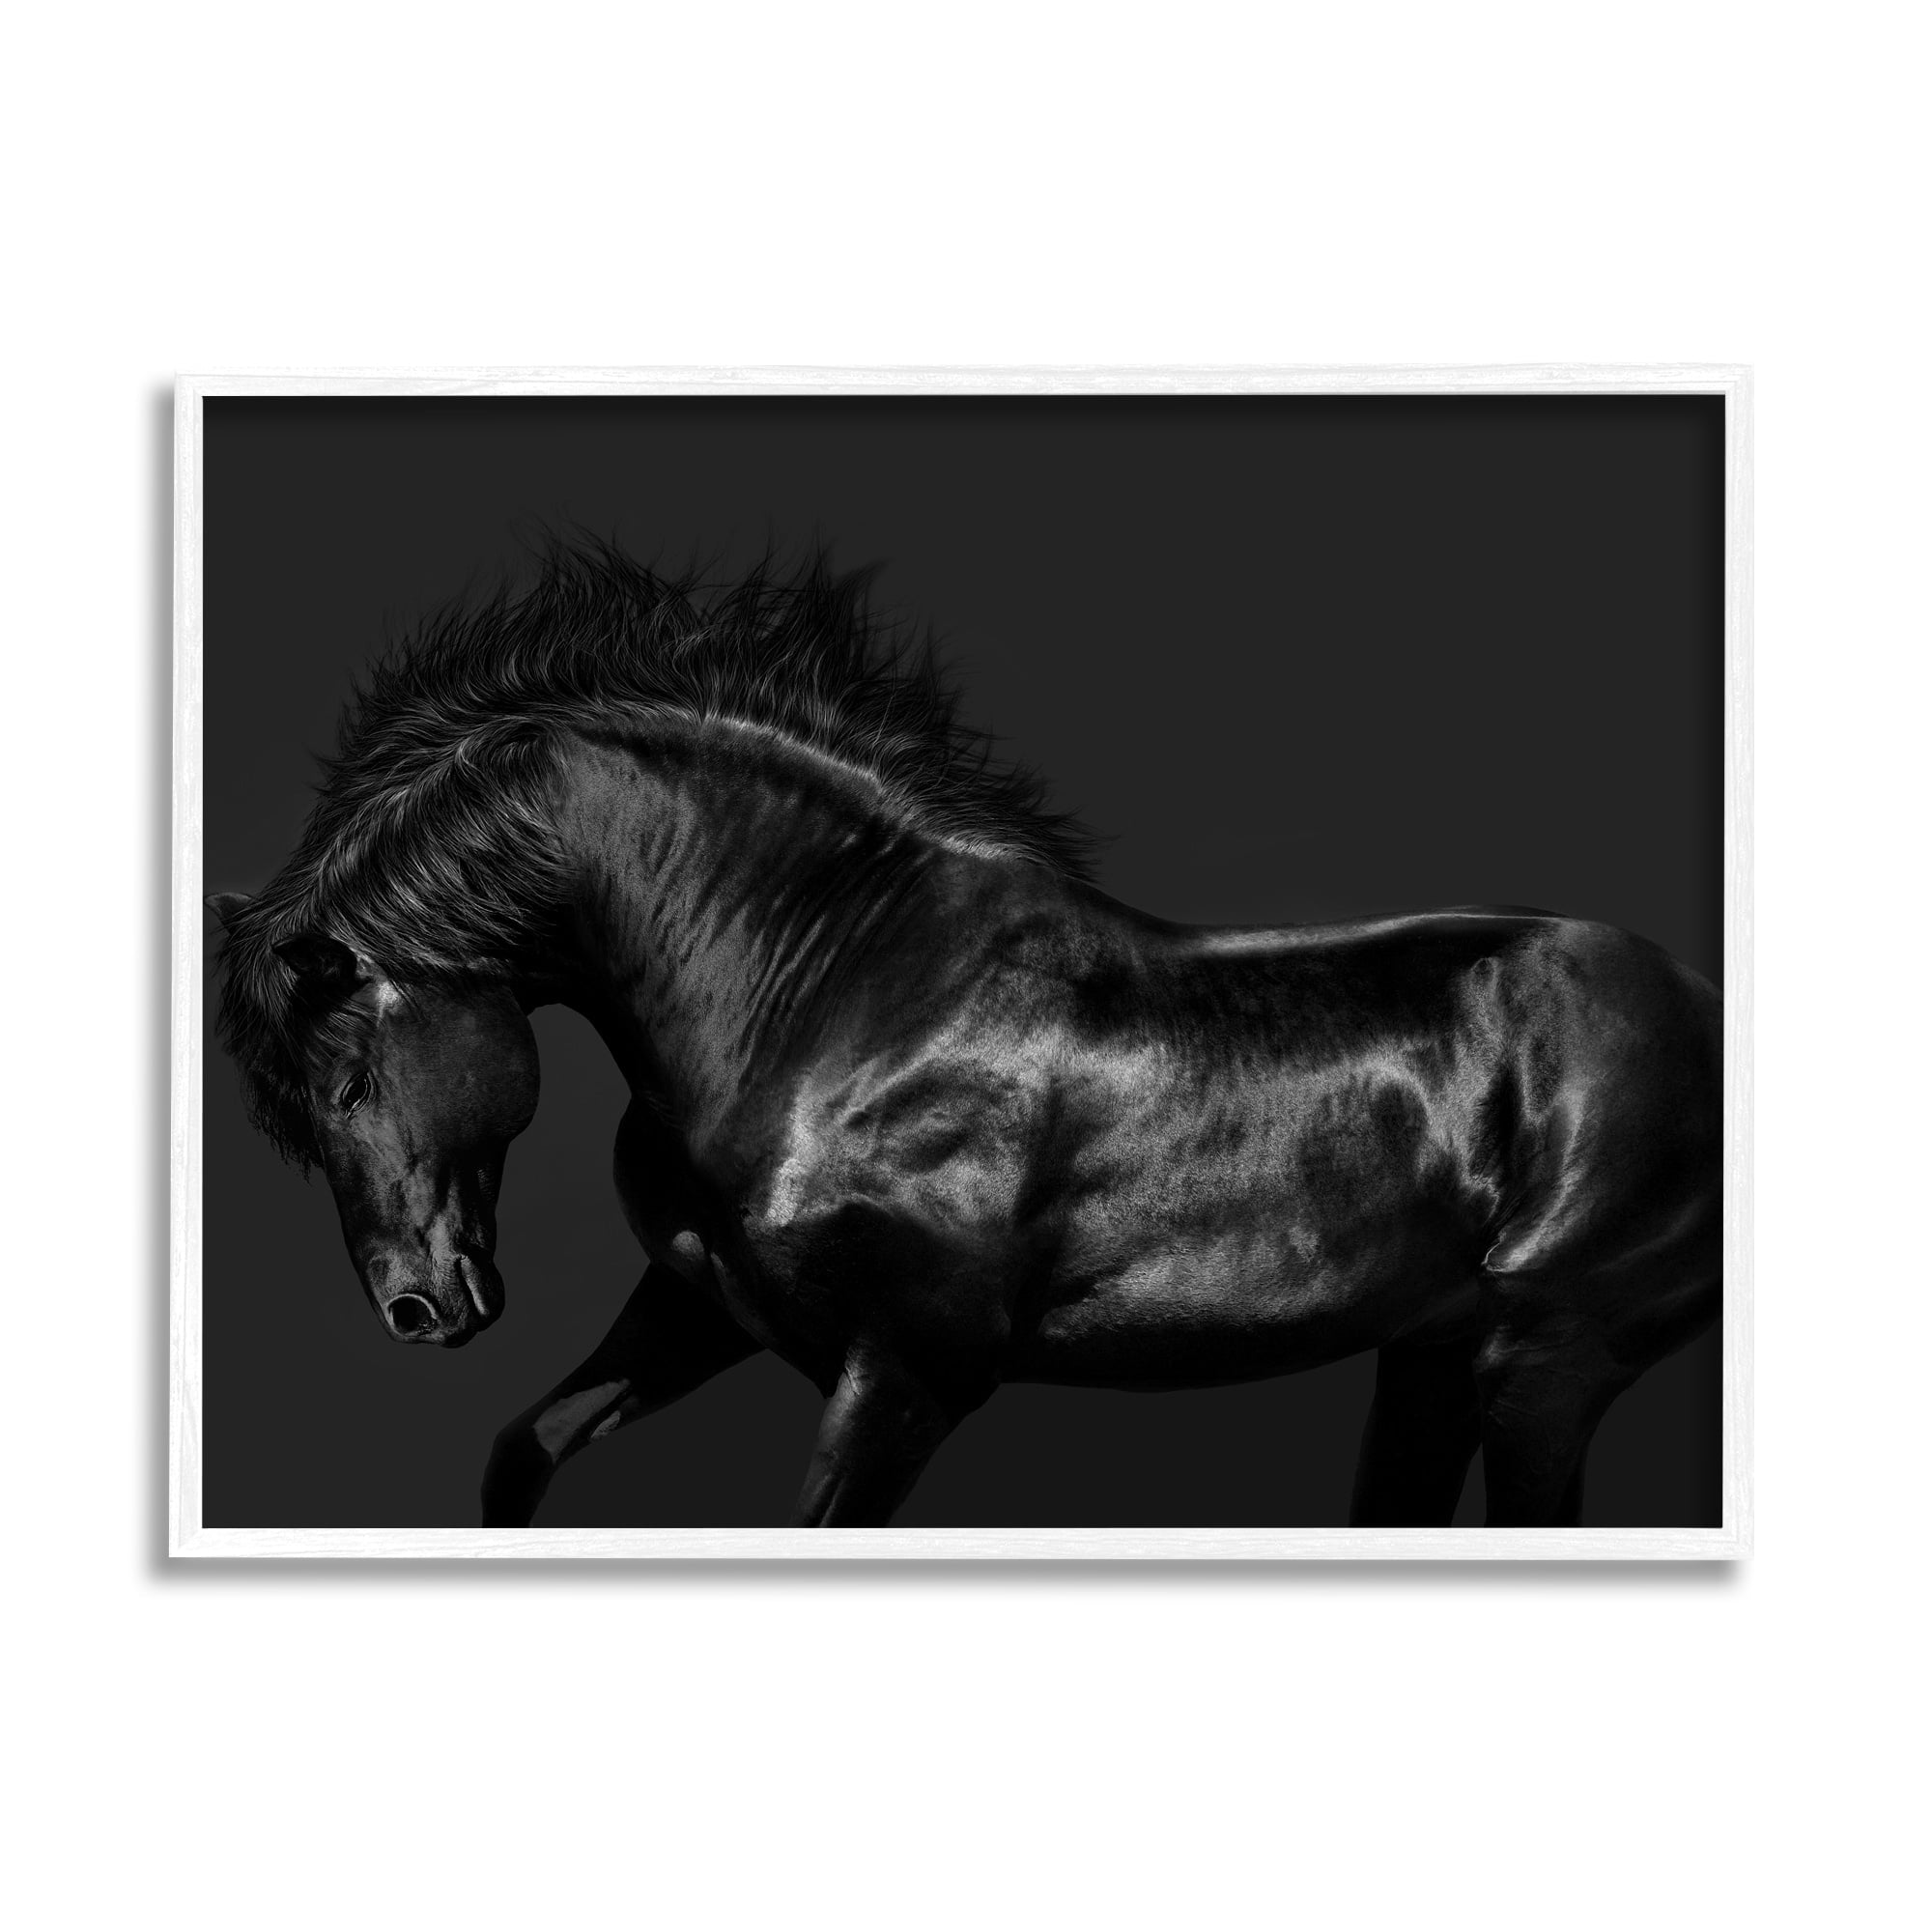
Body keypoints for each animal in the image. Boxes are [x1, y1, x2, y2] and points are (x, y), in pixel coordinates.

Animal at [209, 544, 1722, 1530]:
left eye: (348, 1077)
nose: (417, 1308)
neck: (834, 1002)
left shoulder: (910, 1371)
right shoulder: (697, 1308)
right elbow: (519, 1452)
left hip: (1543, 1360)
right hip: (1428, 1361)